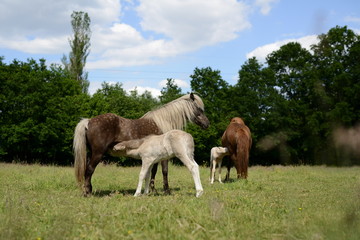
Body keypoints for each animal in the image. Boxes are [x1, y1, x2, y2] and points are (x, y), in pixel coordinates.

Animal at [73, 93, 210, 196]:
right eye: (199, 109)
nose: (207, 124)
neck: (162, 122)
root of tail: (88, 121)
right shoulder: (163, 157)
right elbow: (164, 171)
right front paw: (166, 191)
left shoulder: (154, 157)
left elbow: (153, 172)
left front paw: (152, 190)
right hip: (98, 153)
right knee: (89, 170)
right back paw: (87, 193)